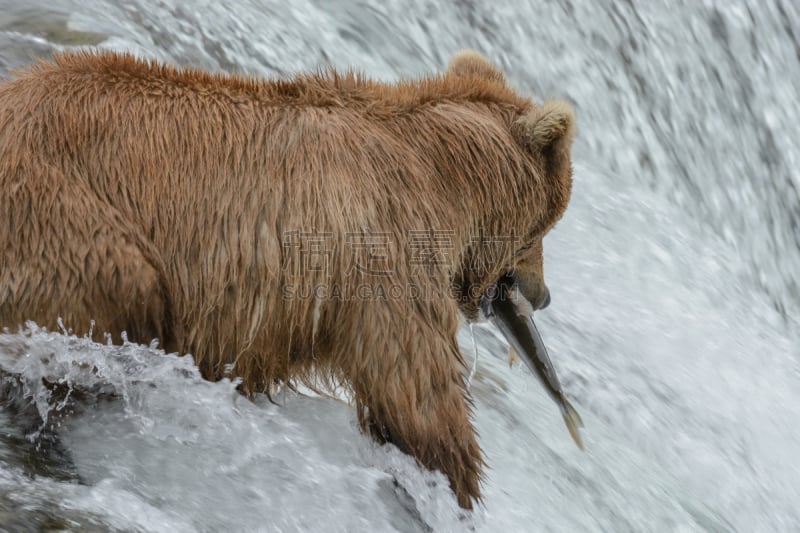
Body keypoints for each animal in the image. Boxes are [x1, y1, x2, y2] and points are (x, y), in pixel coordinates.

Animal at [0, 50, 576, 508]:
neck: (449, 180)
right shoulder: (385, 250)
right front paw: (455, 484)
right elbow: (417, 394)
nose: (543, 295)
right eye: (548, 224)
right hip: (76, 226)